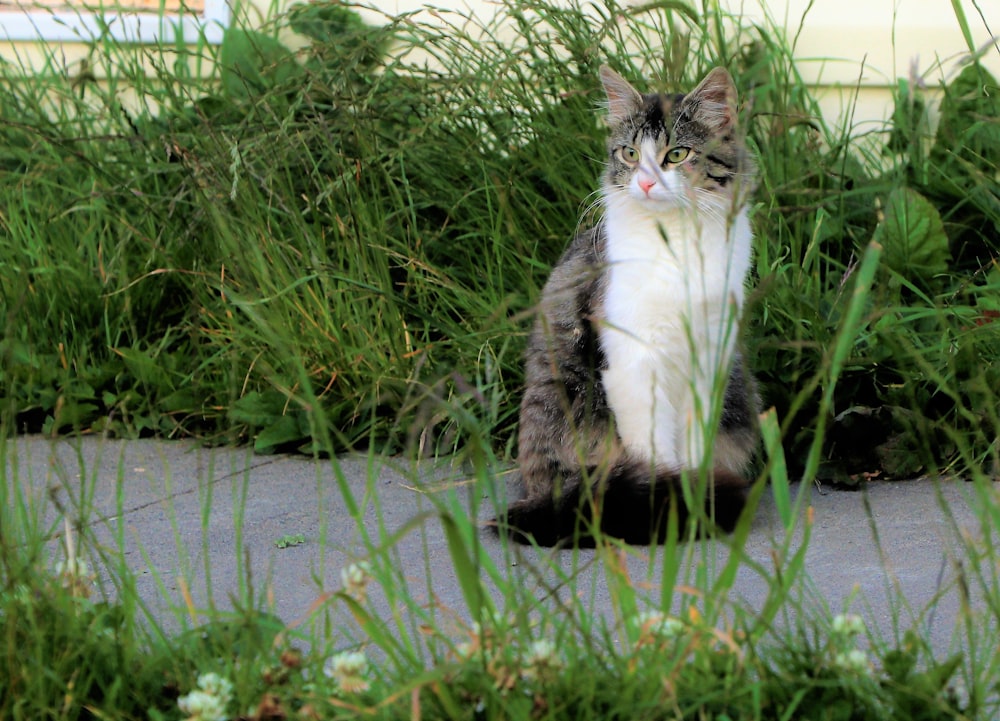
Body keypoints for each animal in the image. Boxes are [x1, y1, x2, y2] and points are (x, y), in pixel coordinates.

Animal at [496, 66, 760, 544]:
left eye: (677, 154)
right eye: (631, 153)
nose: (647, 181)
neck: (676, 244)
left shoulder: (709, 359)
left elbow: (695, 447)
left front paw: (696, 496)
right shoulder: (634, 362)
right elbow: (657, 453)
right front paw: (673, 502)